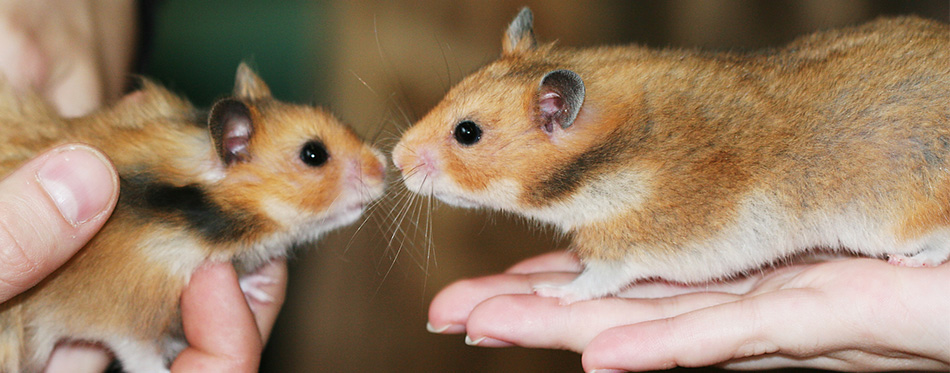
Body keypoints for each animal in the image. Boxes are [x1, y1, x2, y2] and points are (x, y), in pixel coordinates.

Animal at [390, 8, 948, 304]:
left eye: (467, 132)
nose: (395, 158)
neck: (609, 159)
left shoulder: (620, 246)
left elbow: (592, 282)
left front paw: (549, 292)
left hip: (901, 213)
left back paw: (909, 261)